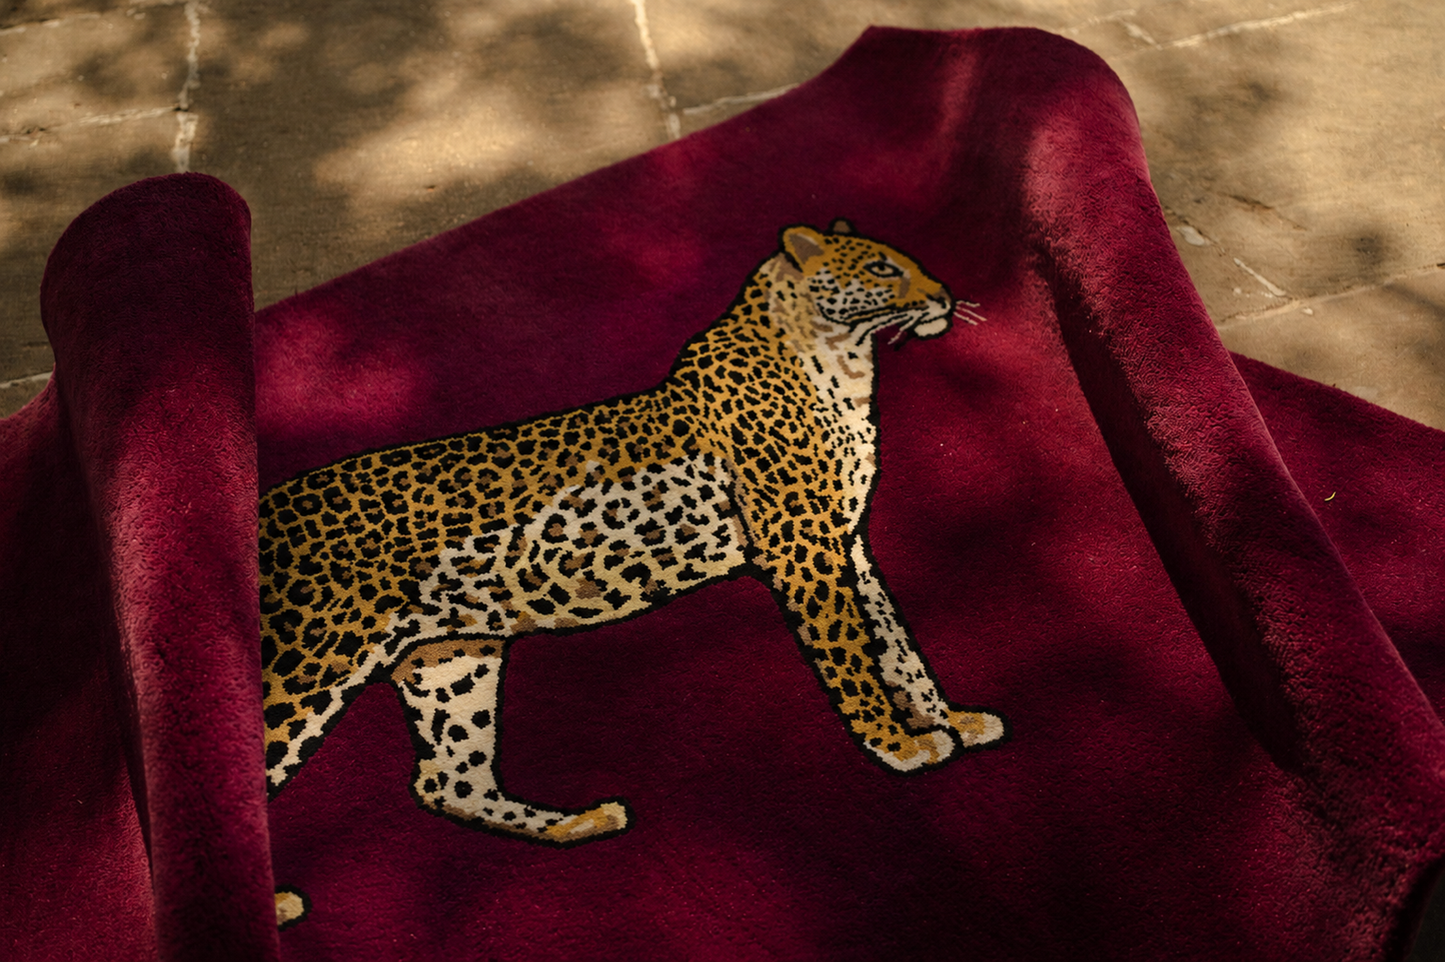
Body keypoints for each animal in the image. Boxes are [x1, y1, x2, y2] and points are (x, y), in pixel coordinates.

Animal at [259, 219, 1007, 856]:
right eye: (882, 269)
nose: (944, 297)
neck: (842, 365)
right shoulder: (801, 550)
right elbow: (848, 652)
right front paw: (896, 746)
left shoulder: (847, 541)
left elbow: (896, 643)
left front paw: (951, 720)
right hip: (308, 664)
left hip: (450, 657)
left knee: (448, 782)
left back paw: (580, 825)